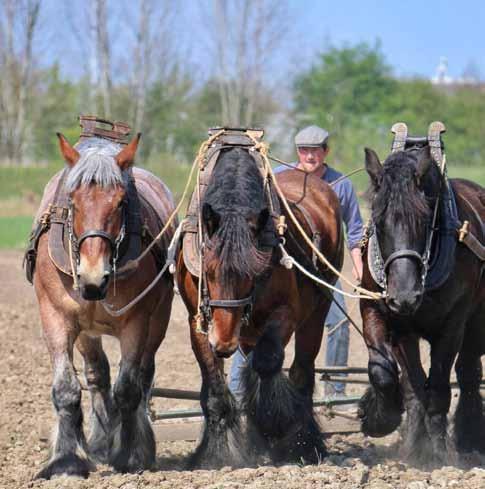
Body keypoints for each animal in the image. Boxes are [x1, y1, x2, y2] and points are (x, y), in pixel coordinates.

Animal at [26, 130, 176, 476]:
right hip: (87, 331)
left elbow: (128, 389)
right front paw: (66, 460)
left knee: (143, 375)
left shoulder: (137, 321)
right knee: (97, 374)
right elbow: (66, 388)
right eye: (72, 200)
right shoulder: (56, 316)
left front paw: (129, 456)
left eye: (121, 203)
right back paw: (98, 440)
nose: (93, 278)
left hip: (159, 319)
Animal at [176, 131, 342, 468]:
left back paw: (305, 441)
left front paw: (275, 426)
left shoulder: (285, 313)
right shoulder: (196, 320)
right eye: (208, 271)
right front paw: (215, 454)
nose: (223, 343)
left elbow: (267, 362)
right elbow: (214, 386)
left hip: (318, 310)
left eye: (252, 273)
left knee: (302, 371)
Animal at [358, 121, 484, 462]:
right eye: (378, 220)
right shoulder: (385, 314)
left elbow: (438, 387)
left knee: (468, 374)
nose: (405, 296)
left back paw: (468, 438)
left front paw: (437, 453)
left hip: (475, 325)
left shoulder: (453, 325)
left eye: (426, 219)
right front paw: (395, 430)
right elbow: (395, 377)